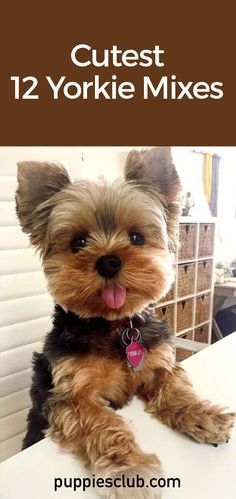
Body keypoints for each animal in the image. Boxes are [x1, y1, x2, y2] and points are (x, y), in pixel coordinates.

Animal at [16, 149, 234, 499]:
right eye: (78, 243)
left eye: (136, 237)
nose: (108, 260)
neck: (114, 326)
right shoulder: (71, 397)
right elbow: (104, 423)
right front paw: (129, 470)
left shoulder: (158, 364)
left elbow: (176, 388)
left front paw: (204, 416)